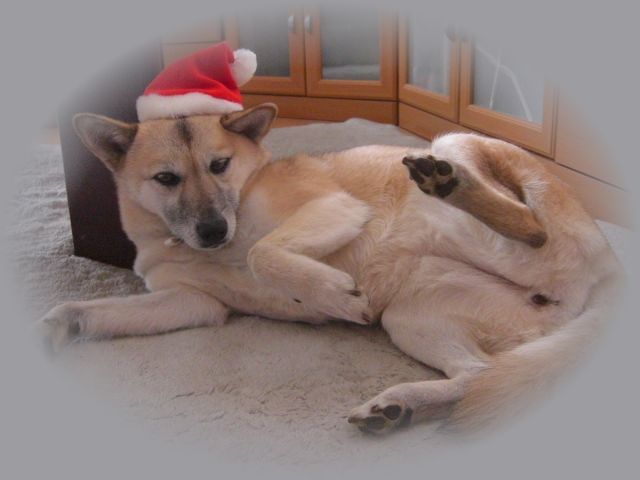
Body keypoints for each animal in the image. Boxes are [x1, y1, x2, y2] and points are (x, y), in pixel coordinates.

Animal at [39, 103, 621, 432]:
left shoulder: (334, 209)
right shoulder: (192, 302)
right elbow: (91, 310)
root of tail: (610, 277)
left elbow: (264, 254)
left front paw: (330, 293)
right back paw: (401, 406)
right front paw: (57, 327)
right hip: (412, 317)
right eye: (166, 178)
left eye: (219, 166)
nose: (212, 231)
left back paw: (447, 183)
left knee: (531, 226)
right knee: (476, 376)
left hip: (460, 149)